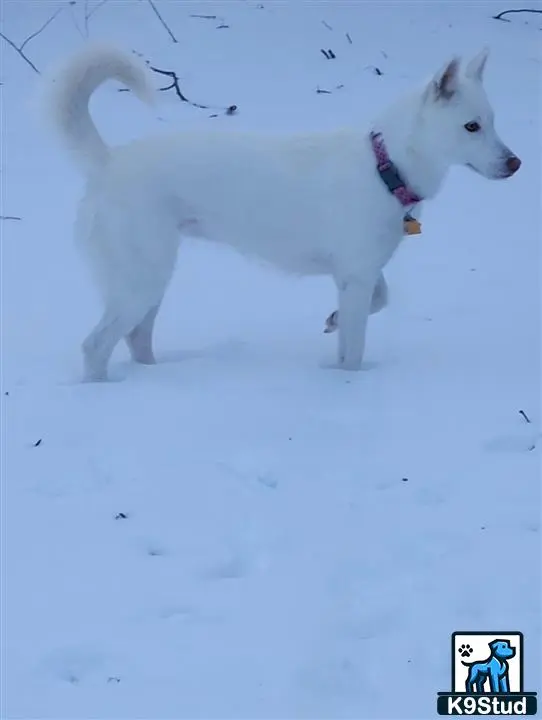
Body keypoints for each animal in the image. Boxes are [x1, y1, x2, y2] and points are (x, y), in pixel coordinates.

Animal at [45, 45, 524, 382]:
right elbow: (353, 352)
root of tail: (109, 161)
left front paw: (332, 321)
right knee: (95, 345)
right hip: (142, 279)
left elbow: (380, 300)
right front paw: (349, 383)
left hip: (150, 280)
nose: (516, 163)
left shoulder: (357, 273)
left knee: (135, 338)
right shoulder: (355, 276)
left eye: (492, 122)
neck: (384, 166)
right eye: (471, 127)